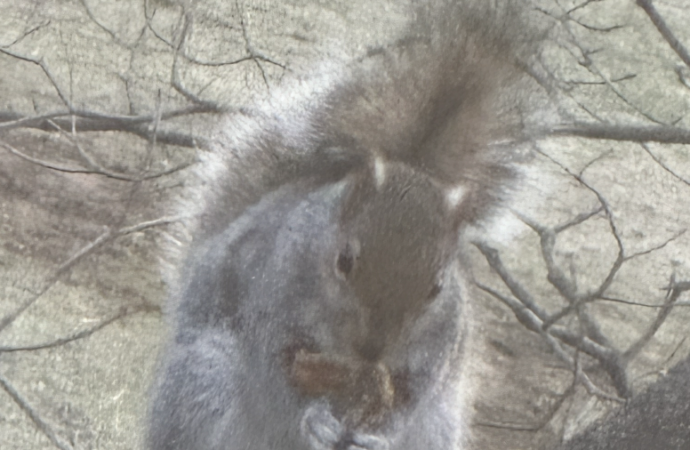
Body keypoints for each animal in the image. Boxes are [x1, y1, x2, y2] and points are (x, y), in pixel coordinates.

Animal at [147, 1, 539, 449]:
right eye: (344, 261)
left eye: (437, 287)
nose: (372, 349)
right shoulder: (271, 295)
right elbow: (277, 378)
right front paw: (314, 417)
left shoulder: (440, 345)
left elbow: (410, 399)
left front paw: (380, 433)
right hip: (203, 385)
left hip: (438, 430)